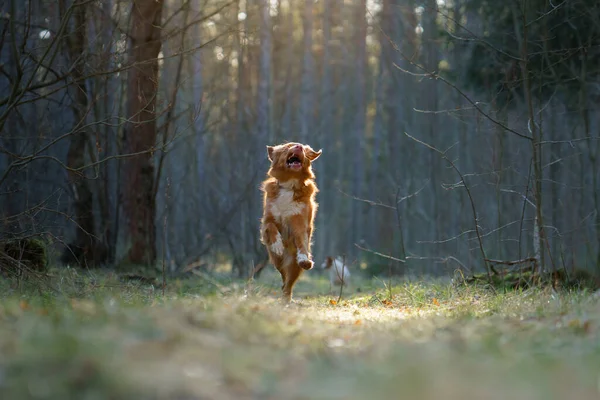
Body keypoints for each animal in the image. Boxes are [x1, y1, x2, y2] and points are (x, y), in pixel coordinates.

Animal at [258, 142, 322, 302]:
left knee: (288, 283)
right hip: (277, 261)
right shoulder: (267, 219)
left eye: (304, 149)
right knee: (283, 277)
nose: (299, 146)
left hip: (293, 265)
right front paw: (277, 245)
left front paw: (304, 258)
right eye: (288, 147)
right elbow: (271, 227)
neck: (289, 185)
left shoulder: (300, 223)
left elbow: (301, 242)